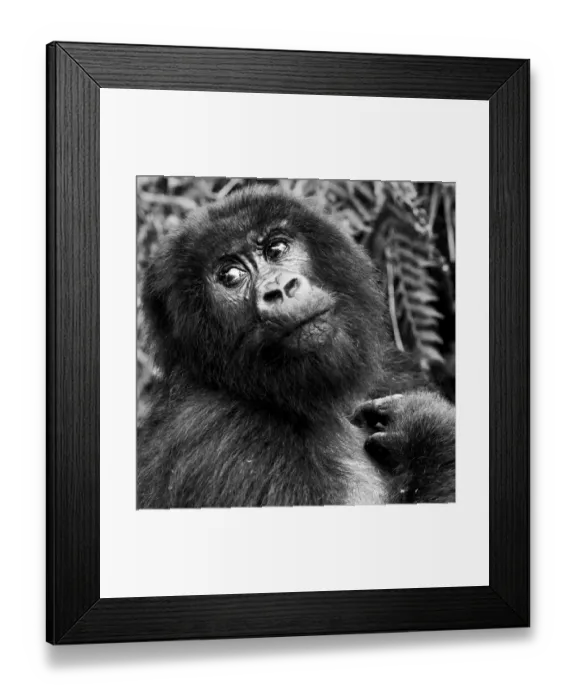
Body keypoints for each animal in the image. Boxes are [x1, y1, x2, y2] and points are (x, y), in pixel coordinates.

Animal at [137, 186, 455, 508]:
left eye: (276, 250)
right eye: (230, 276)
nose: (279, 289)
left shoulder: (391, 368)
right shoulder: (224, 434)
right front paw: (427, 431)